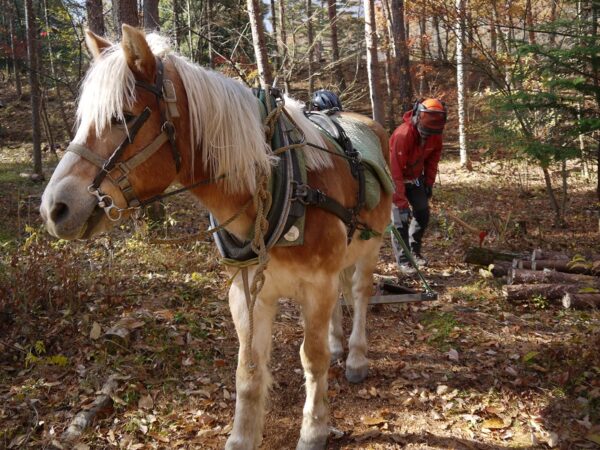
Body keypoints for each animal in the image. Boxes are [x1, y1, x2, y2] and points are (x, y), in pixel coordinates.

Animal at [39, 26, 392, 448]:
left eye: (123, 118)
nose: (55, 207)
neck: (278, 184)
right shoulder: (246, 290)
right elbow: (248, 368)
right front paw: (242, 436)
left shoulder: (316, 284)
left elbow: (313, 357)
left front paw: (313, 429)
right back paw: (339, 342)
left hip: (371, 247)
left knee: (359, 294)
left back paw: (354, 355)